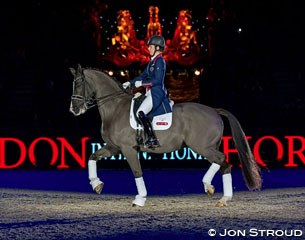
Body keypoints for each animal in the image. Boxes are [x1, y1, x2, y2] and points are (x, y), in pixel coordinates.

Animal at [69, 64, 262, 207]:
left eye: (78, 84)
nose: (74, 110)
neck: (115, 108)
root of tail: (214, 110)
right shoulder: (114, 147)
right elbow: (92, 157)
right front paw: (96, 184)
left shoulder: (127, 148)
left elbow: (137, 172)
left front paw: (140, 199)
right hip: (207, 147)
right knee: (223, 164)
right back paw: (220, 195)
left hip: (202, 147)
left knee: (222, 159)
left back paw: (213, 189)